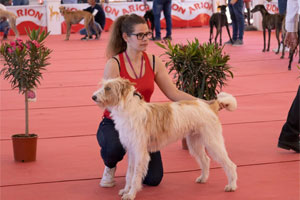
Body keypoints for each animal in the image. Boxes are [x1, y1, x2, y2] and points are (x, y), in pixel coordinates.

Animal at [92, 77, 238, 200]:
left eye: (108, 88)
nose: (93, 97)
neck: (129, 109)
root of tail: (210, 105)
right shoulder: (132, 151)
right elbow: (129, 174)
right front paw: (126, 190)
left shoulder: (140, 153)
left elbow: (135, 176)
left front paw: (131, 194)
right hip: (194, 142)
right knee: (206, 160)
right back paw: (203, 178)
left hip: (213, 142)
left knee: (230, 164)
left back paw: (232, 186)